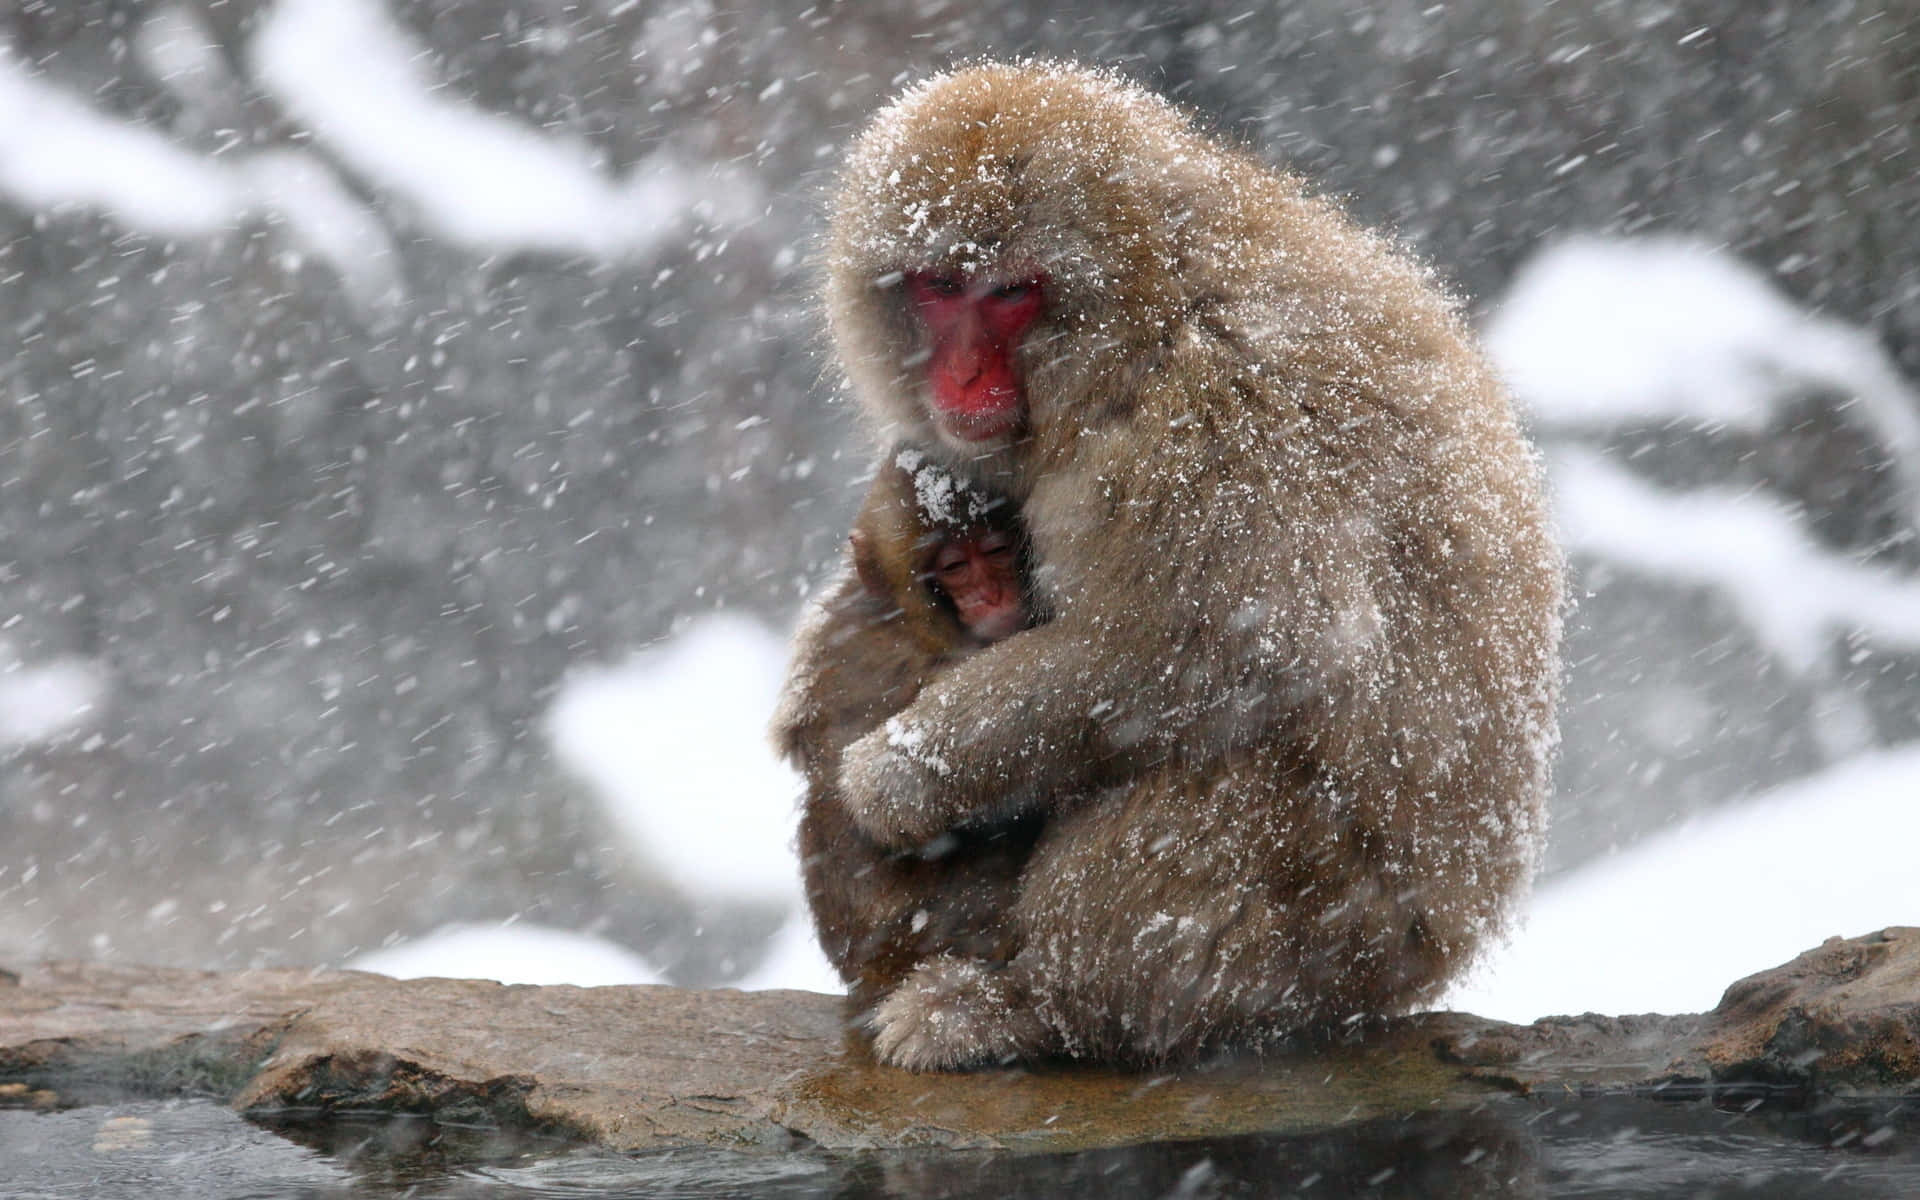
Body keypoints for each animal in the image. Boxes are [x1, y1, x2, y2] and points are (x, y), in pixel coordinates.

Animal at [798, 60, 1559, 1067]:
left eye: (1010, 293)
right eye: (939, 285)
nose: (959, 378)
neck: (1145, 314)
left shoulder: (1219, 419)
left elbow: (1245, 642)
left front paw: (897, 775)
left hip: (1329, 935)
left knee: (1207, 772)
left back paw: (1039, 1009)